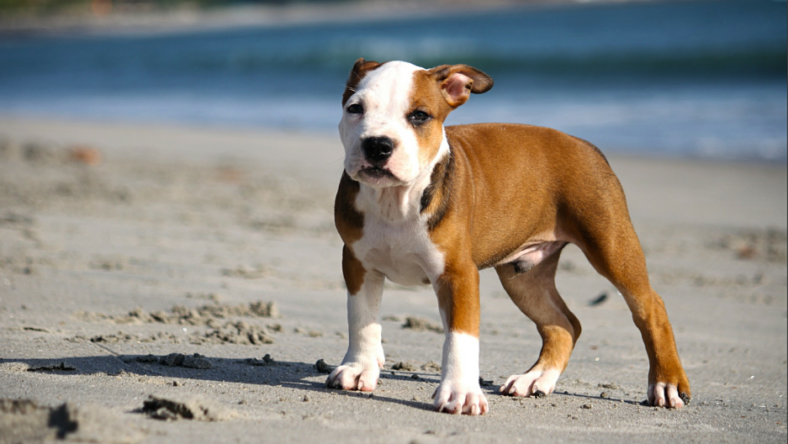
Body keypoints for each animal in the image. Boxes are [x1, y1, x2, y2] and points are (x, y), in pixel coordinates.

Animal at [326, 59, 688, 416]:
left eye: (419, 116)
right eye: (355, 108)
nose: (377, 144)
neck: (395, 201)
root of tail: (585, 145)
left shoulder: (458, 275)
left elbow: (460, 338)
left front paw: (460, 392)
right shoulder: (358, 264)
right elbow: (362, 319)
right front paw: (359, 367)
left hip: (611, 247)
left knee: (650, 307)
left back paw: (667, 383)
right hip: (524, 278)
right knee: (564, 324)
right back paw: (536, 378)